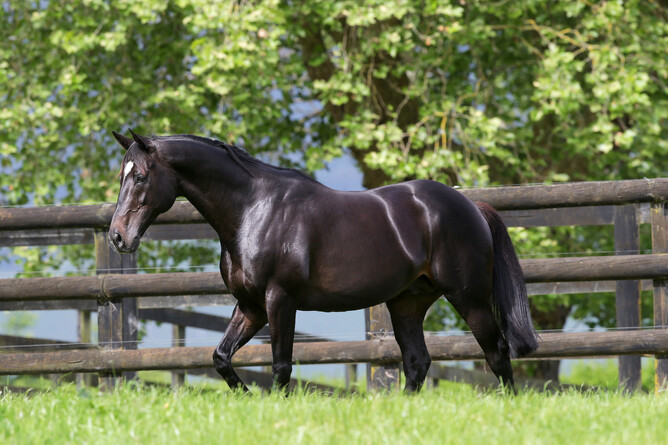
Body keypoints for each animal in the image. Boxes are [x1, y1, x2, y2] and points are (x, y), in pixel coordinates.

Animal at [109, 129, 538, 392]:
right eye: (122, 176)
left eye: (141, 176)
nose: (117, 236)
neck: (253, 210)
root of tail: (471, 206)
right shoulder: (250, 306)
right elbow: (222, 358)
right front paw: (245, 396)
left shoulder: (280, 300)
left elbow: (281, 365)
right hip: (407, 303)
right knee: (417, 362)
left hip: (470, 298)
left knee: (497, 354)